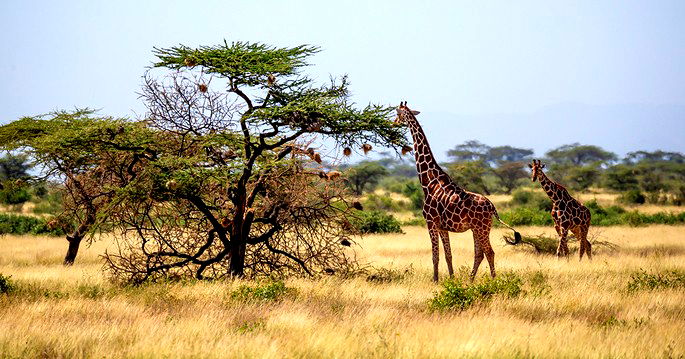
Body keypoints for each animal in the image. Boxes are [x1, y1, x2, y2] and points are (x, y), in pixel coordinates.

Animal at [392, 102, 520, 282]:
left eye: (397, 113)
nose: (393, 123)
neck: (428, 182)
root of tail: (492, 206)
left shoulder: (431, 222)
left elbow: (435, 255)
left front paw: (435, 280)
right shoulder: (442, 227)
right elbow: (448, 255)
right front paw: (452, 279)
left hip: (481, 228)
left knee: (489, 252)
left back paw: (493, 281)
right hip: (477, 228)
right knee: (479, 253)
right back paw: (470, 280)